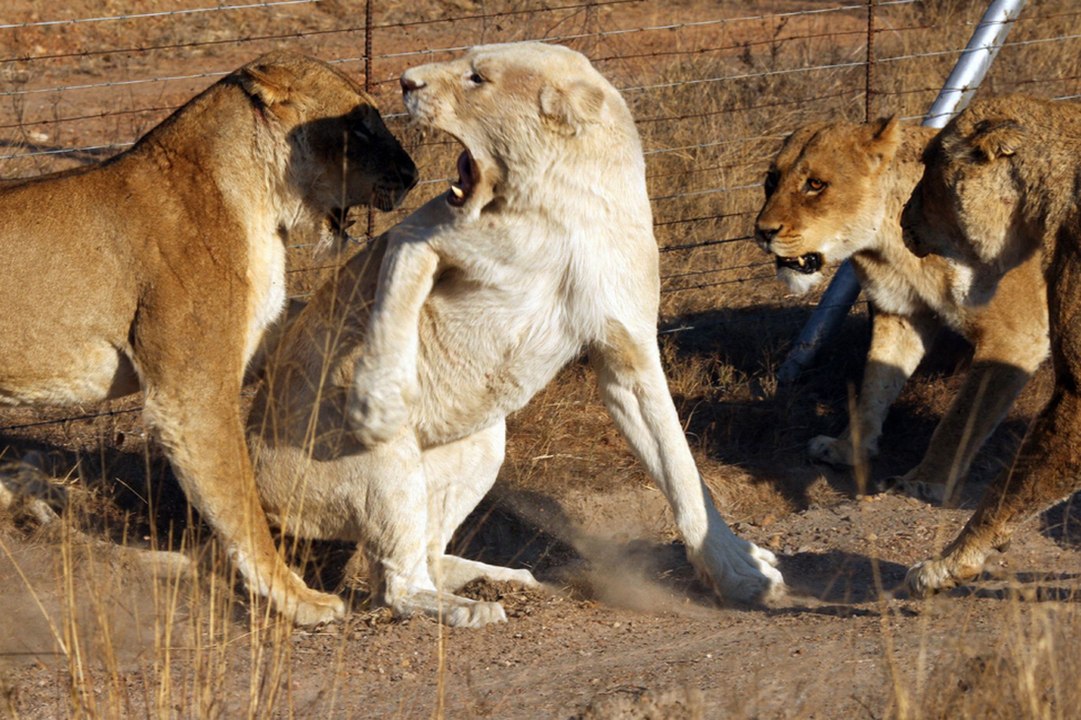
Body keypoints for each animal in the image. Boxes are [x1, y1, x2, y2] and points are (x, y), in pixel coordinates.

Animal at [0, 52, 417, 625]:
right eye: (359, 124)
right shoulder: (189, 391)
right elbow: (239, 499)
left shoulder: (260, 335)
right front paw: (296, 597)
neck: (264, 207)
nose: (413, 175)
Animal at [247, 41, 785, 628]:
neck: (565, 207)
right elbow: (394, 301)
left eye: (476, 78)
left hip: (483, 442)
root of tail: (259, 489)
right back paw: (467, 608)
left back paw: (507, 579)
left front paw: (742, 572)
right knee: (396, 583)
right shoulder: (419, 236)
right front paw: (377, 403)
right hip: (382, 464)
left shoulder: (629, 353)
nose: (406, 81)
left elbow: (682, 470)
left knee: (422, 557)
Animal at [754, 118, 1048, 504]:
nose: (762, 232)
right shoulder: (902, 312)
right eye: (771, 180)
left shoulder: (1016, 336)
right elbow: (875, 385)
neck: (889, 245)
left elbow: (960, 419)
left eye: (815, 184)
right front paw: (849, 449)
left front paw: (925, 481)